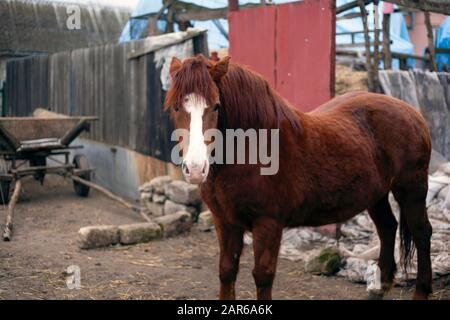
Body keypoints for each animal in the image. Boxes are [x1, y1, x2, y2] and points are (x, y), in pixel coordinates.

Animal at [165, 54, 432, 300]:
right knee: (387, 227)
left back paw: (421, 290)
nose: (195, 168)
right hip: (376, 194)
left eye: (216, 106)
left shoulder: (268, 224)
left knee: (421, 232)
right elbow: (227, 271)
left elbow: (263, 276)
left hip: (412, 189)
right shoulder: (225, 222)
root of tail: (412, 112)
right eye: (176, 107)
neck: (253, 149)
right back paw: (380, 288)